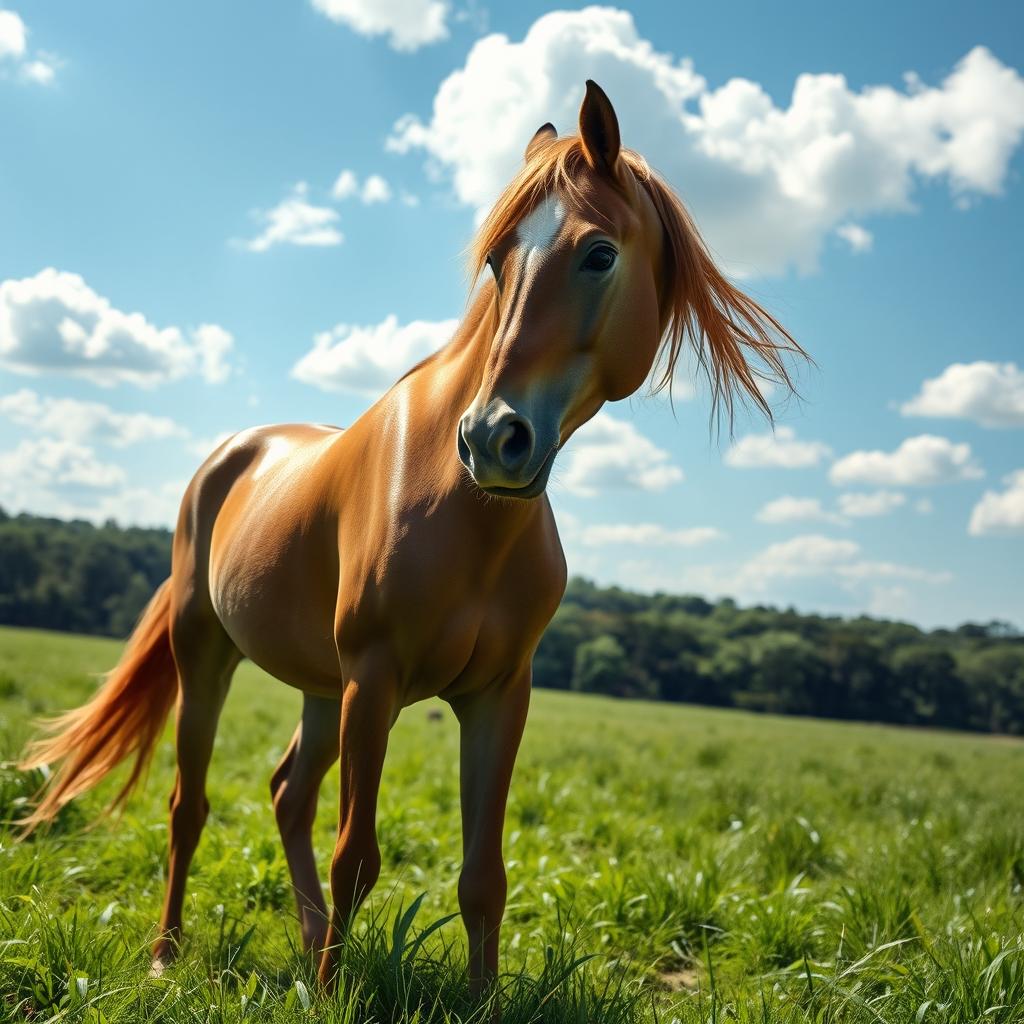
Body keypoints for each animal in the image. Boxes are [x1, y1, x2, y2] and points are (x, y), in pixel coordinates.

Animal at [20, 81, 804, 996]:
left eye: (599, 254)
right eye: (498, 263)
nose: (493, 438)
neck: (462, 509)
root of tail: (229, 455)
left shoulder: (497, 696)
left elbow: (484, 876)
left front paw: (475, 1000)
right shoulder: (376, 679)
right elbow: (356, 856)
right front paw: (330, 998)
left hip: (320, 689)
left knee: (288, 794)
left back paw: (305, 942)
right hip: (210, 654)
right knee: (191, 806)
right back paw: (167, 955)